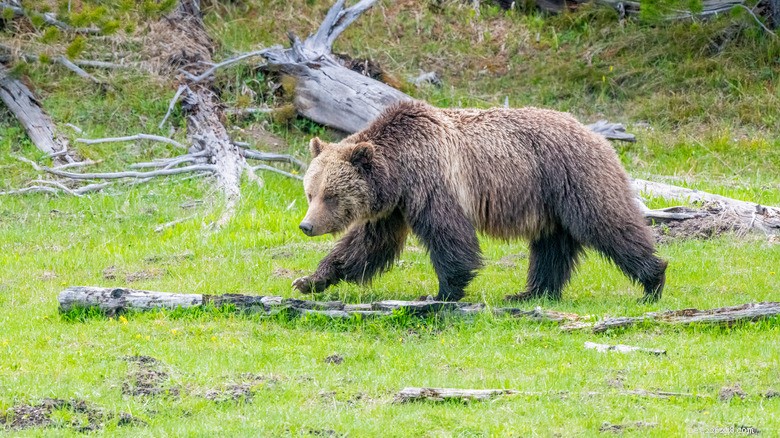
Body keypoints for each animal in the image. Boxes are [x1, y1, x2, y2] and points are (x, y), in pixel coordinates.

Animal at [292, 100, 667, 303]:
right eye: (310, 192)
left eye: (331, 195)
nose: (307, 225)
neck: (399, 170)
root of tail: (596, 135)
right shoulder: (393, 206)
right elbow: (368, 244)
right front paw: (311, 280)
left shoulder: (433, 182)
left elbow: (448, 234)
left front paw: (443, 292)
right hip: (549, 200)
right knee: (551, 246)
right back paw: (532, 292)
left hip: (574, 178)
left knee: (608, 224)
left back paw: (653, 279)